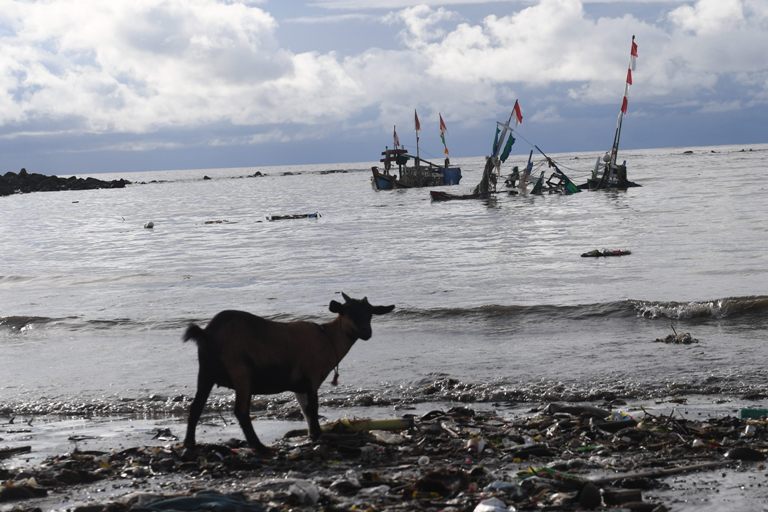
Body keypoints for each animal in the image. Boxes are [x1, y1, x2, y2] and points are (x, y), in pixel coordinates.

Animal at [182, 292, 392, 452]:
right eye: (348, 312)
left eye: (370, 314)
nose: (366, 333)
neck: (328, 338)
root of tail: (207, 334)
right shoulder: (312, 377)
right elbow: (313, 408)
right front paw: (318, 436)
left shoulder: (300, 386)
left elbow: (306, 411)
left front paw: (313, 435)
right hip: (241, 372)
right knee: (240, 410)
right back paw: (259, 447)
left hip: (206, 372)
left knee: (196, 407)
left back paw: (189, 443)